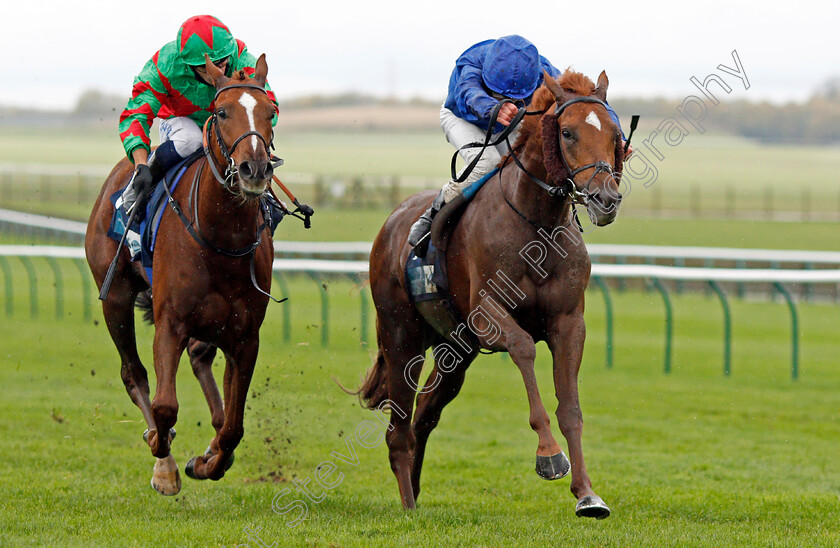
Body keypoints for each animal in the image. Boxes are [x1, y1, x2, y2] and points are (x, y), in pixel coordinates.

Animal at [88, 53, 278, 494]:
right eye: (221, 112)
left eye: (270, 113)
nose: (254, 169)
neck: (221, 238)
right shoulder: (170, 322)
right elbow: (164, 407)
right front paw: (164, 459)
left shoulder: (246, 335)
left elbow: (234, 427)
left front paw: (208, 461)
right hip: (116, 297)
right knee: (133, 373)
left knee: (201, 361)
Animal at [360, 68, 624, 520]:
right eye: (568, 133)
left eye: (613, 132)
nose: (606, 198)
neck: (536, 223)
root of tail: (391, 223)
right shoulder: (486, 315)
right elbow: (523, 347)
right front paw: (549, 455)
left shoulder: (569, 322)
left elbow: (570, 408)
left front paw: (588, 494)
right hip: (401, 336)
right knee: (399, 428)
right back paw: (408, 503)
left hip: (456, 348)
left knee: (423, 415)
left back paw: (415, 488)